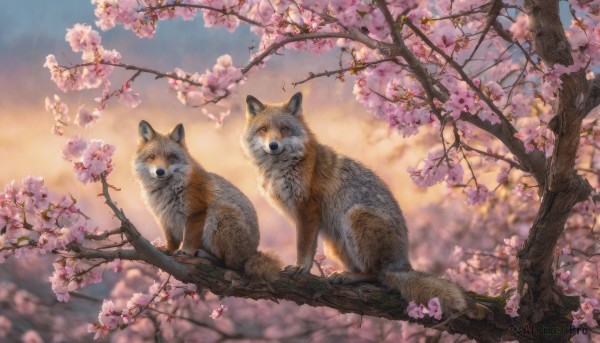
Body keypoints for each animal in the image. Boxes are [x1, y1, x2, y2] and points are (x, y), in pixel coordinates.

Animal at [133, 121, 282, 282]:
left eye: (171, 157)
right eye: (151, 157)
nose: (160, 172)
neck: (167, 190)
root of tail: (251, 253)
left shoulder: (196, 212)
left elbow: (189, 239)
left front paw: (185, 252)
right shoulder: (165, 218)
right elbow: (171, 241)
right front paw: (168, 250)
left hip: (219, 215)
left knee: (229, 265)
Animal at [241, 92, 472, 316]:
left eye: (284, 129)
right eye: (263, 129)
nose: (273, 146)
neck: (282, 170)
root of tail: (403, 263)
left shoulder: (308, 210)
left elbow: (303, 247)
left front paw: (301, 268)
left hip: (356, 216)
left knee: (375, 275)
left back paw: (352, 277)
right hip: (334, 243)